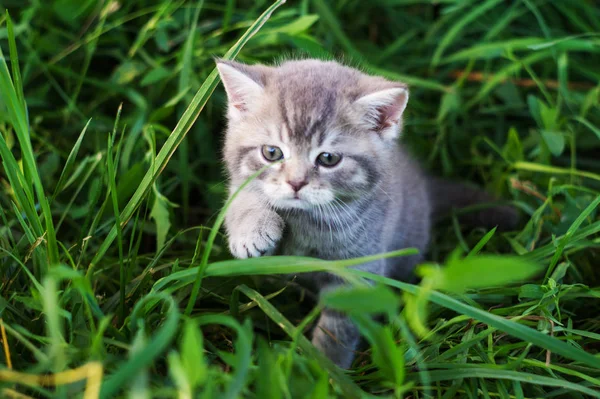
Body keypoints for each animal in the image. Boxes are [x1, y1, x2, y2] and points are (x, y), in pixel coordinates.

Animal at [216, 58, 516, 368]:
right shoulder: (241, 188)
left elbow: (340, 324)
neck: (306, 218)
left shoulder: (360, 267)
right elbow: (241, 199)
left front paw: (325, 366)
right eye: (272, 153)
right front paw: (252, 230)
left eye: (328, 158)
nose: (296, 183)